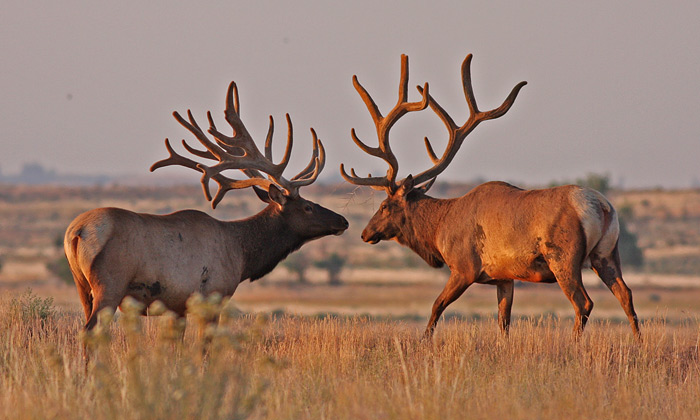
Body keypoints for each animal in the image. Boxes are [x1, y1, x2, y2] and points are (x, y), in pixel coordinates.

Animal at [64, 81, 348, 332]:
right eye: (307, 206)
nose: (342, 221)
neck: (241, 254)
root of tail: (77, 232)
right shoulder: (214, 295)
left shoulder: (177, 307)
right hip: (109, 285)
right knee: (90, 330)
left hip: (82, 288)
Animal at [340, 55, 640, 338]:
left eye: (384, 206)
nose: (365, 233)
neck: (439, 229)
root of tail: (602, 208)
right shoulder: (504, 277)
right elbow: (503, 321)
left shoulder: (464, 267)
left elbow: (437, 306)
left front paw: (424, 340)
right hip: (606, 255)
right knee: (626, 294)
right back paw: (638, 342)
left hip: (563, 257)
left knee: (583, 302)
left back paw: (574, 344)